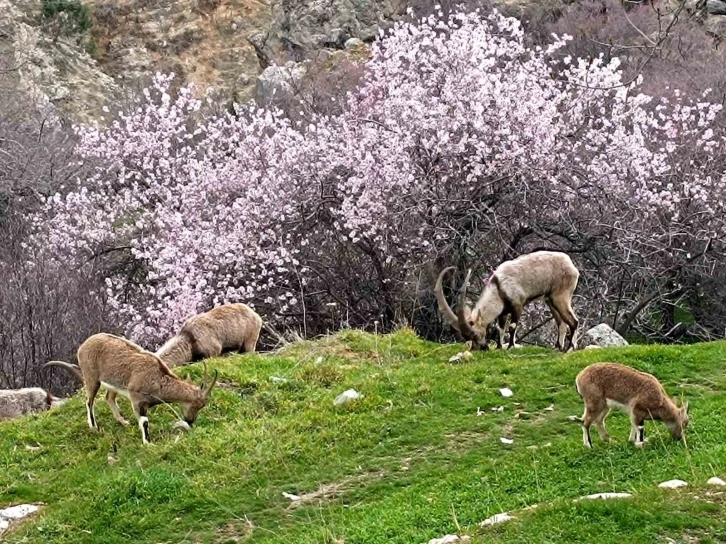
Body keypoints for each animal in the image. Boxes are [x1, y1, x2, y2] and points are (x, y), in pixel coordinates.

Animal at [43, 334, 216, 444]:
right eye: (195, 404)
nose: (190, 421)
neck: (158, 378)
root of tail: (83, 345)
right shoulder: (136, 398)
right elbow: (144, 421)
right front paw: (148, 442)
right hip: (91, 378)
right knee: (89, 401)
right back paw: (94, 426)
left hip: (114, 384)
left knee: (109, 398)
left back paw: (122, 421)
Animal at [436, 250, 584, 350]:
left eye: (476, 334)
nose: (481, 348)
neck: (499, 288)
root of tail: (572, 266)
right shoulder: (503, 312)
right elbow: (500, 328)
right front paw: (499, 347)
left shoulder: (518, 305)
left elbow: (512, 326)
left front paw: (510, 347)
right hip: (550, 300)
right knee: (562, 323)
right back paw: (557, 348)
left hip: (561, 296)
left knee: (574, 321)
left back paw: (570, 348)